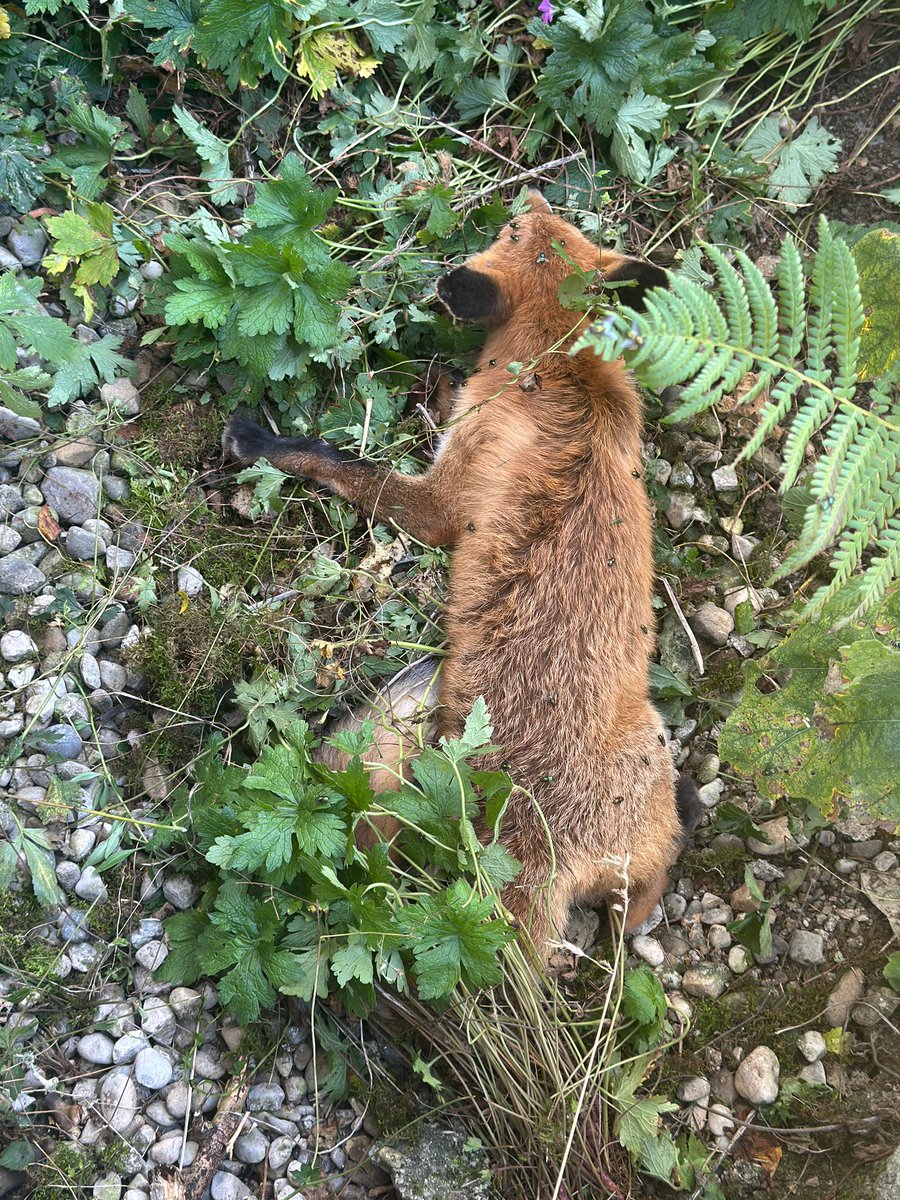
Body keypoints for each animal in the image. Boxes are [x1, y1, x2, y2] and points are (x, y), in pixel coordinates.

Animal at [222, 191, 701, 959]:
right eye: (544, 223)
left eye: (510, 230)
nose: (528, 193)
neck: (562, 372)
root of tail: (543, 849)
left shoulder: (445, 498)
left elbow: (341, 464)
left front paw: (262, 440)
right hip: (648, 784)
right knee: (641, 905)